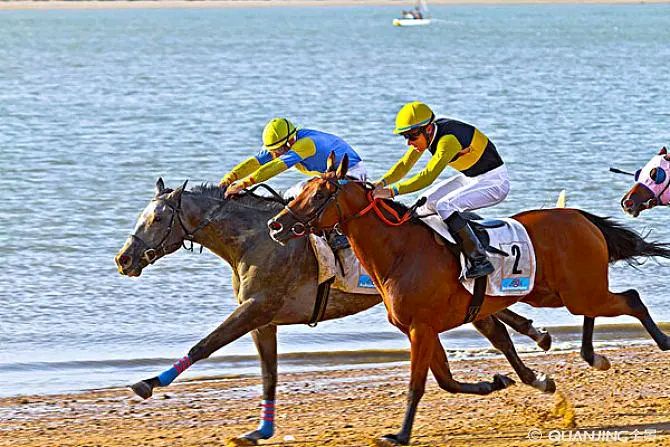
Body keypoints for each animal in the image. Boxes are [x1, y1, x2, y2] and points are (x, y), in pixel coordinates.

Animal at [114, 177, 552, 446]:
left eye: (156, 218)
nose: (124, 259)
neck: (255, 239)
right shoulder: (263, 320)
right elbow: (269, 375)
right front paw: (260, 431)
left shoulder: (256, 308)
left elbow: (206, 345)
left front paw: (149, 382)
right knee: (497, 325)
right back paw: (533, 348)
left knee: (498, 329)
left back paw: (535, 358)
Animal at [267, 153, 670, 446]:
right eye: (300, 191)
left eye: (320, 195)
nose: (276, 225)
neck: (401, 252)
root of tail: (580, 218)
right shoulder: (422, 329)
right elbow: (446, 379)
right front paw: (499, 382)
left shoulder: (422, 328)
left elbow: (418, 385)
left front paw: (400, 434)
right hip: (561, 293)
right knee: (597, 308)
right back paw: (592, 355)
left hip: (576, 291)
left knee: (631, 298)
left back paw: (661, 342)